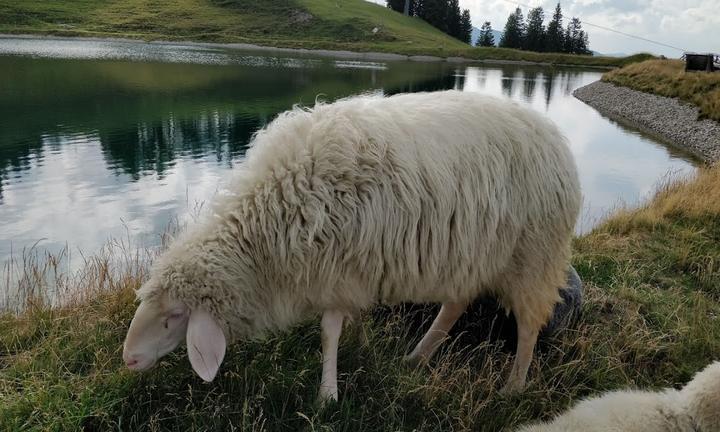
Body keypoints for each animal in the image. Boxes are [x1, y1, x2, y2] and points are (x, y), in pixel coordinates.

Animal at [121, 90, 584, 402]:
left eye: (175, 317)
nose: (128, 359)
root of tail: (555, 136)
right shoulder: (343, 273)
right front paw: (353, 356)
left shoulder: (339, 269)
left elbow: (329, 333)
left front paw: (327, 393)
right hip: (473, 254)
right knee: (456, 303)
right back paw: (418, 356)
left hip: (533, 257)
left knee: (528, 325)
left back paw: (513, 386)